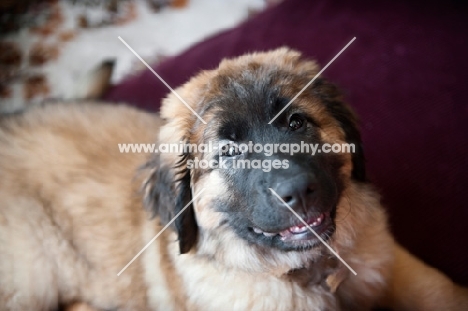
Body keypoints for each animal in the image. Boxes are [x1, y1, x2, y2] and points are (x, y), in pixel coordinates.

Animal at [0, 47, 466, 310]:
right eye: (228, 151)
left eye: (297, 122)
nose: (297, 192)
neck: (311, 272)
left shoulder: (392, 262)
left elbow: (440, 292)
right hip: (31, 280)